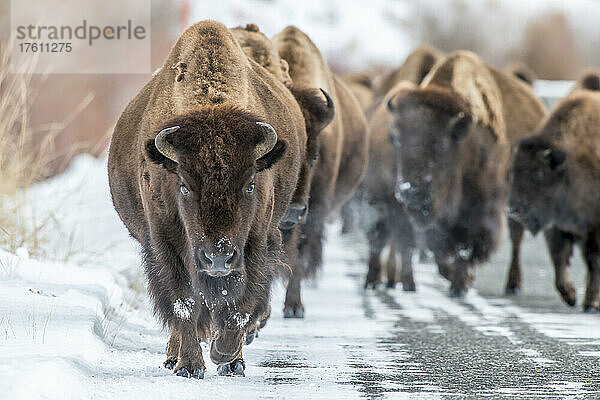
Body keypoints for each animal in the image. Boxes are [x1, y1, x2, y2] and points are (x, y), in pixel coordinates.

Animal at [108, 21, 316, 378]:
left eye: (250, 184)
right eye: (184, 186)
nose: (217, 258)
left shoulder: (255, 242)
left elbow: (239, 305)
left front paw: (226, 357)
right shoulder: (165, 244)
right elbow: (185, 304)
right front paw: (190, 365)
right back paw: (173, 357)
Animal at [386, 50, 548, 296]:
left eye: (441, 145)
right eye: (396, 139)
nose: (410, 191)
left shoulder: (481, 211)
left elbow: (468, 245)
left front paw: (460, 284)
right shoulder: (441, 222)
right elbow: (440, 249)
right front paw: (459, 278)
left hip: (517, 202)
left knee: (516, 236)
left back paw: (513, 285)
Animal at [508, 70, 600, 310]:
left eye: (538, 175)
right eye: (512, 172)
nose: (513, 210)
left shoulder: (594, 230)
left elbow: (594, 263)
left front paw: (591, 303)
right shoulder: (558, 227)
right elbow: (559, 258)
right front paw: (570, 295)